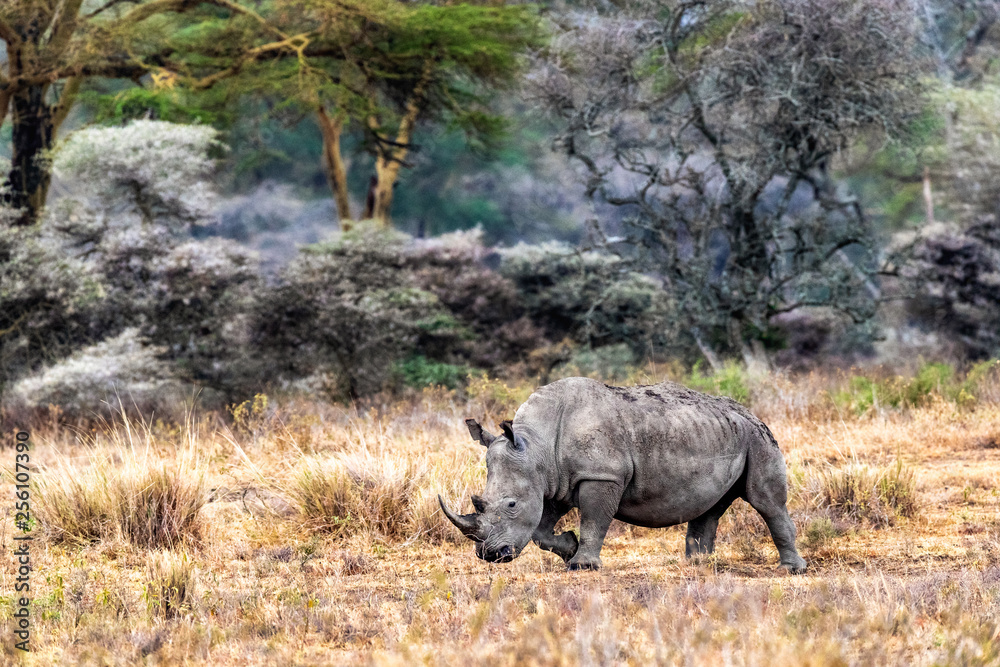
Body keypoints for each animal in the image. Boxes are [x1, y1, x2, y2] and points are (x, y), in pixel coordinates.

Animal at [439, 377, 807, 572]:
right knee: (711, 506)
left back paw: (790, 570)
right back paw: (697, 564)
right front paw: (569, 548)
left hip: (757, 437)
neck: (537, 445)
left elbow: (594, 522)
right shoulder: (555, 480)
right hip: (722, 433)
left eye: (511, 505)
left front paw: (582, 565)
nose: (490, 555)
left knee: (766, 502)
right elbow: (542, 530)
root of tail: (751, 412)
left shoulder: (601, 475)